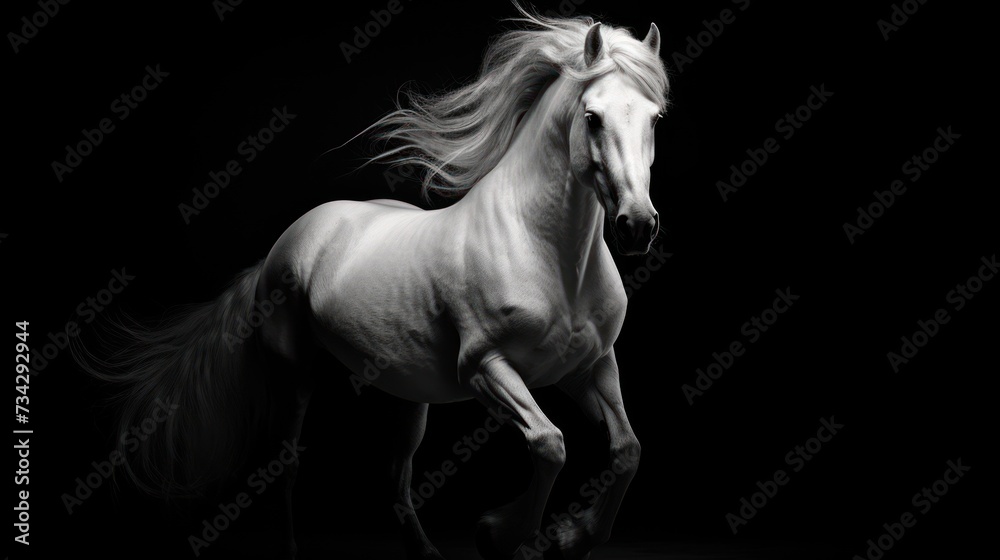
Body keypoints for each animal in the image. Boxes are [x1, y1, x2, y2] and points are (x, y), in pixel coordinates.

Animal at [79, 9, 669, 560]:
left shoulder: (589, 366)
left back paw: (425, 552)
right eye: (592, 116)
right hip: (295, 377)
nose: (637, 226)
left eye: (656, 117)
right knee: (285, 468)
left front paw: (574, 537)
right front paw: (498, 534)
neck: (551, 259)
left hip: (409, 393)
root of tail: (281, 248)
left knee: (396, 475)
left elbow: (627, 449)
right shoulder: (486, 367)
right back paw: (291, 550)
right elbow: (549, 443)